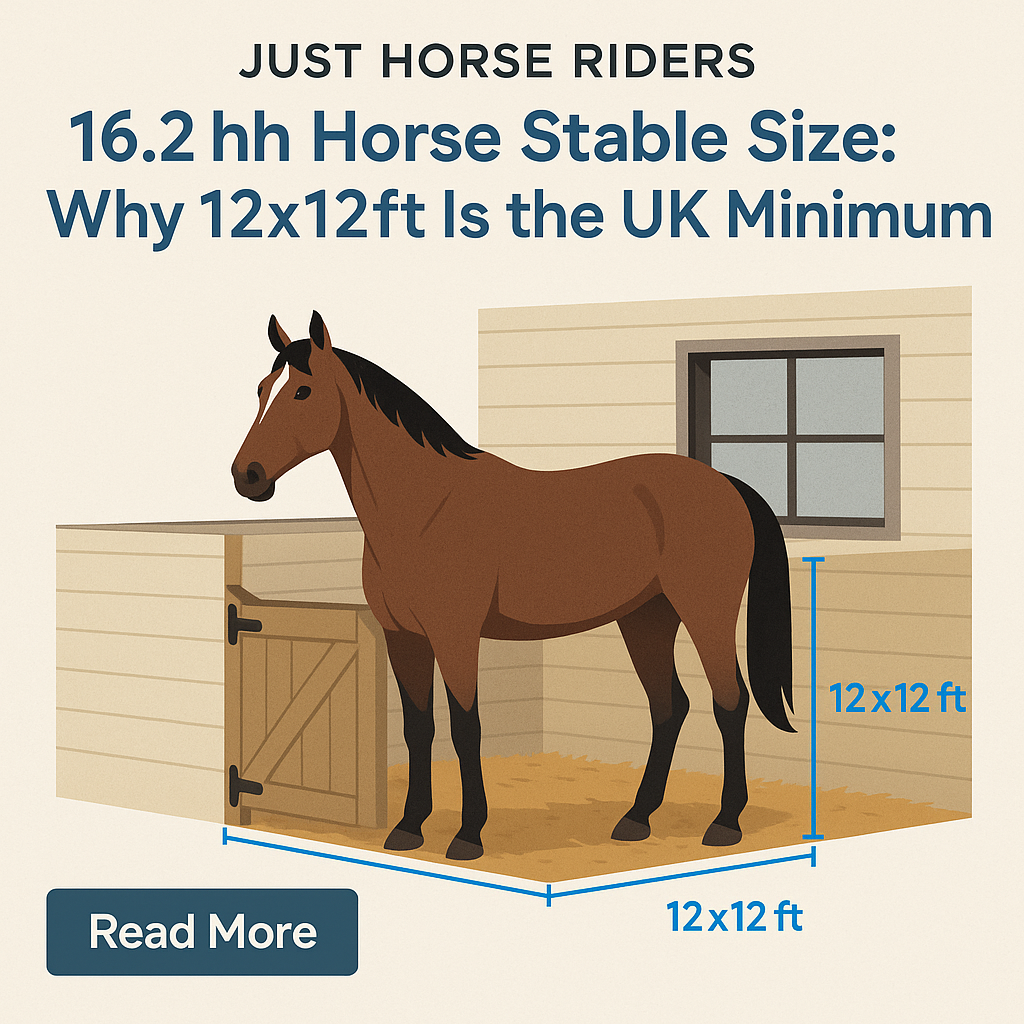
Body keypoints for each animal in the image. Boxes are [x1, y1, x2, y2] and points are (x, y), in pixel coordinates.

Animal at [232, 311, 794, 861]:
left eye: (302, 391)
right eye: (261, 388)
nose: (247, 476)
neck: (425, 507)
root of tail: (726, 484)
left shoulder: (456, 637)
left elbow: (465, 728)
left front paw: (468, 835)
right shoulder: (404, 637)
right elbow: (418, 727)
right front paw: (409, 827)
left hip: (705, 614)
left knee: (729, 702)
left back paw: (725, 824)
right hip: (646, 618)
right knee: (668, 706)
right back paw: (637, 819)